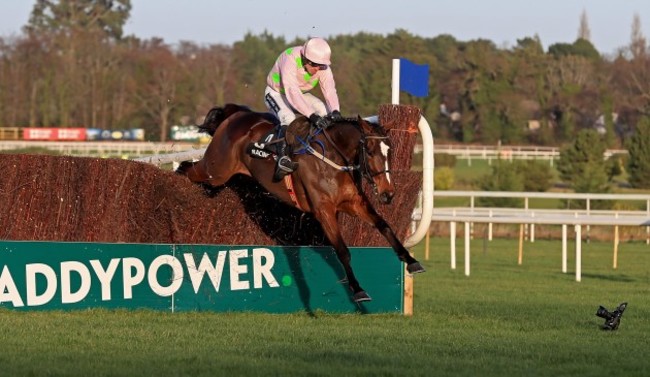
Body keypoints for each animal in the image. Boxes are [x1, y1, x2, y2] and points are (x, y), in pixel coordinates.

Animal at [175, 103, 422, 302]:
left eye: (390, 152)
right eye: (369, 151)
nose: (388, 193)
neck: (333, 159)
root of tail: (235, 115)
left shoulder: (354, 203)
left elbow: (384, 225)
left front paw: (410, 260)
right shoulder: (323, 210)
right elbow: (342, 250)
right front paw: (358, 290)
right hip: (215, 170)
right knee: (189, 168)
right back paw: (178, 176)